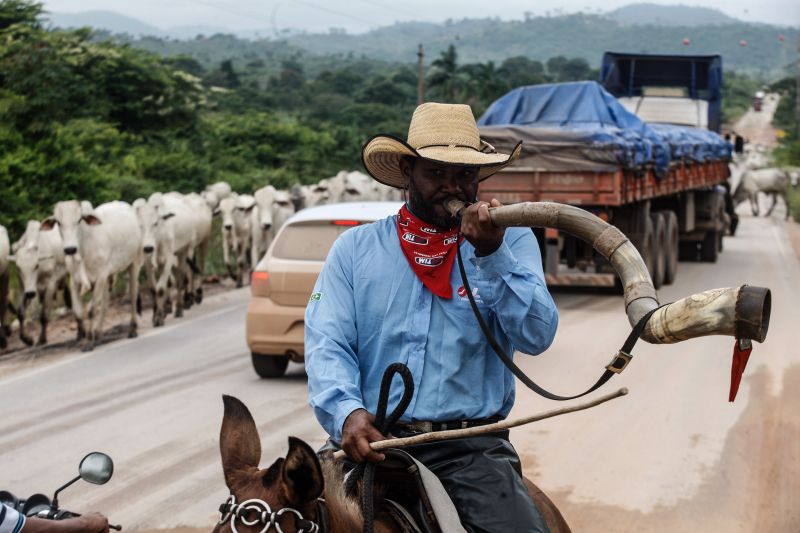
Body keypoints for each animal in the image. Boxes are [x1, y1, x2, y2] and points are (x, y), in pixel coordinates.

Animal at [42, 200, 143, 350]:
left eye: (79, 220)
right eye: (58, 222)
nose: (70, 249)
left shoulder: (100, 277)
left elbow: (91, 310)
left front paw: (89, 341)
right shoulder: (75, 281)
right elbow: (78, 311)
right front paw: (86, 337)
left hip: (134, 263)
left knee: (133, 294)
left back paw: (132, 329)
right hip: (109, 276)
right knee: (106, 303)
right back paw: (99, 333)